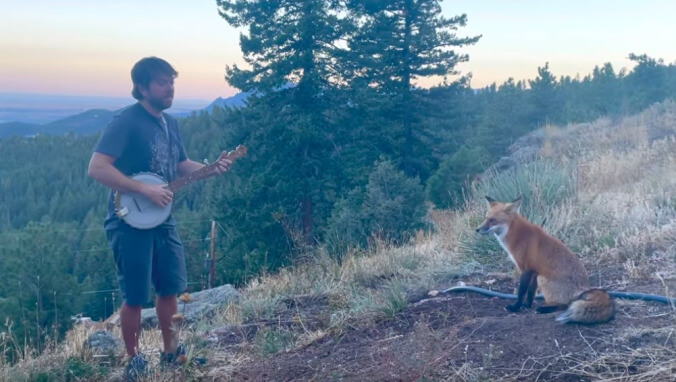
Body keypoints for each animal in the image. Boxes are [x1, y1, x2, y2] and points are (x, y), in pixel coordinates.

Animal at [476, 197, 612, 326]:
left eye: (493, 220)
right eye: (486, 218)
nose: (477, 230)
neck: (518, 235)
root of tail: (582, 290)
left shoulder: (527, 269)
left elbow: (521, 292)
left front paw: (516, 307)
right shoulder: (534, 271)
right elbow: (530, 293)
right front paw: (527, 305)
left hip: (543, 279)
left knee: (566, 305)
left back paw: (544, 309)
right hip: (540, 278)